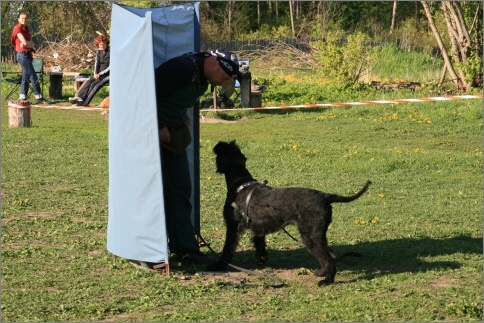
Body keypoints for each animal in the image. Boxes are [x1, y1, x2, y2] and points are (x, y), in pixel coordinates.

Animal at [208, 140, 370, 284]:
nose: (216, 147)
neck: (240, 184)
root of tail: (325, 196)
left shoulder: (233, 226)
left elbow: (228, 248)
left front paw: (219, 265)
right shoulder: (259, 229)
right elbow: (260, 246)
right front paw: (261, 261)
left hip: (310, 234)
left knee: (328, 257)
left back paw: (327, 280)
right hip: (318, 234)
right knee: (330, 254)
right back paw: (321, 272)